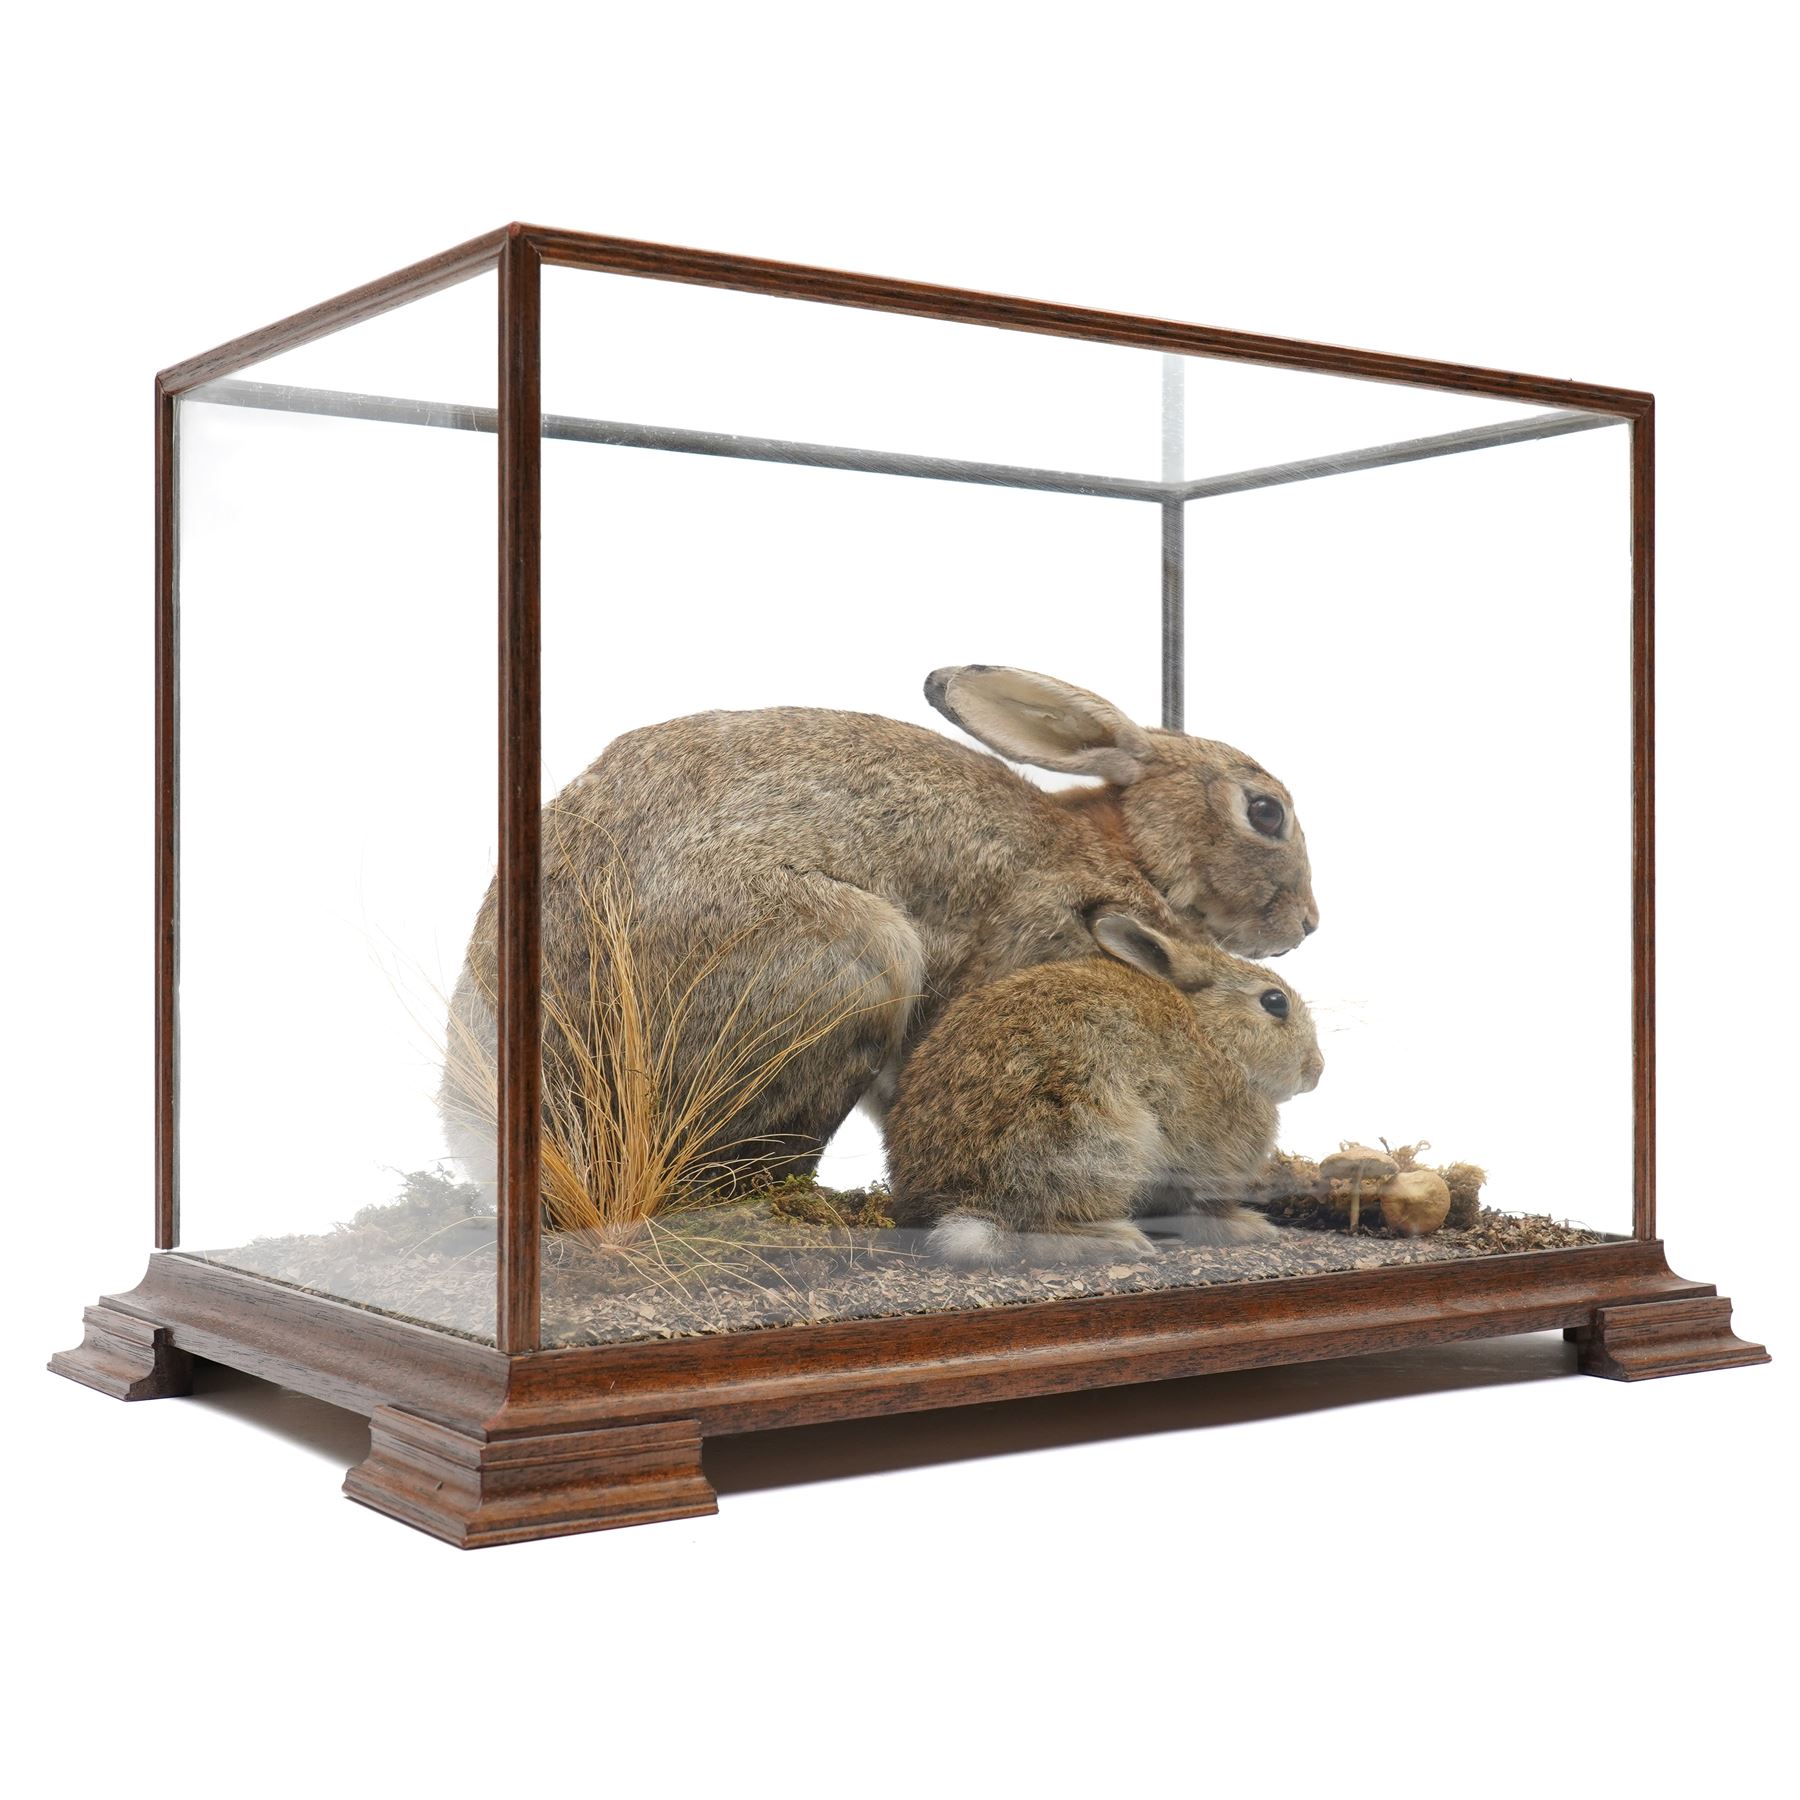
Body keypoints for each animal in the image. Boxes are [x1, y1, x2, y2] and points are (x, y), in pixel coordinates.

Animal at [883, 913, 1324, 1266]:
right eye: (1275, 1002)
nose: (1317, 1071)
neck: (1213, 1034)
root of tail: (962, 1199)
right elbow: (1199, 1212)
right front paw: (1252, 1227)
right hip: (1096, 1142)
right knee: (1037, 1233)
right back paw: (1120, 1241)